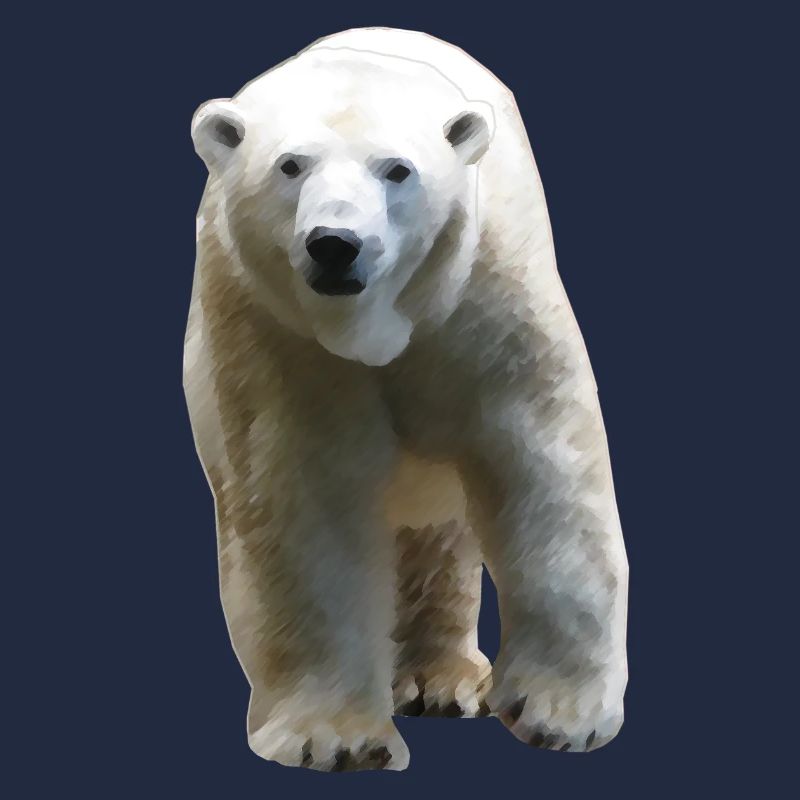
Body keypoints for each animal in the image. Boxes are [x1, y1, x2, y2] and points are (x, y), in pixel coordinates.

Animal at [184, 27, 629, 772]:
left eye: (396, 170)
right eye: (290, 165)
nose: (335, 245)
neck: (375, 326)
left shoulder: (486, 300)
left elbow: (542, 467)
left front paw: (561, 714)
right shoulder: (272, 331)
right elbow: (300, 498)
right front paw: (335, 736)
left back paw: (442, 682)